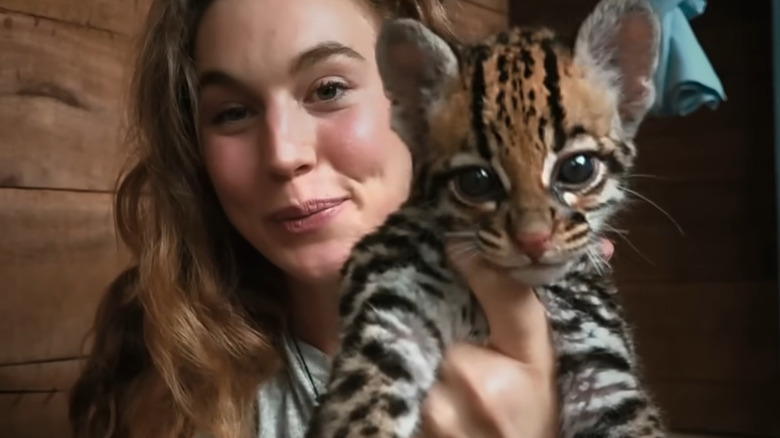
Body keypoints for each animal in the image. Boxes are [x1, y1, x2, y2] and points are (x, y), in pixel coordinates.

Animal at [304, 0, 664, 438]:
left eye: (577, 168)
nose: (534, 240)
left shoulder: (603, 365)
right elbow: (363, 407)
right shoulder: (391, 305)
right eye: (476, 181)